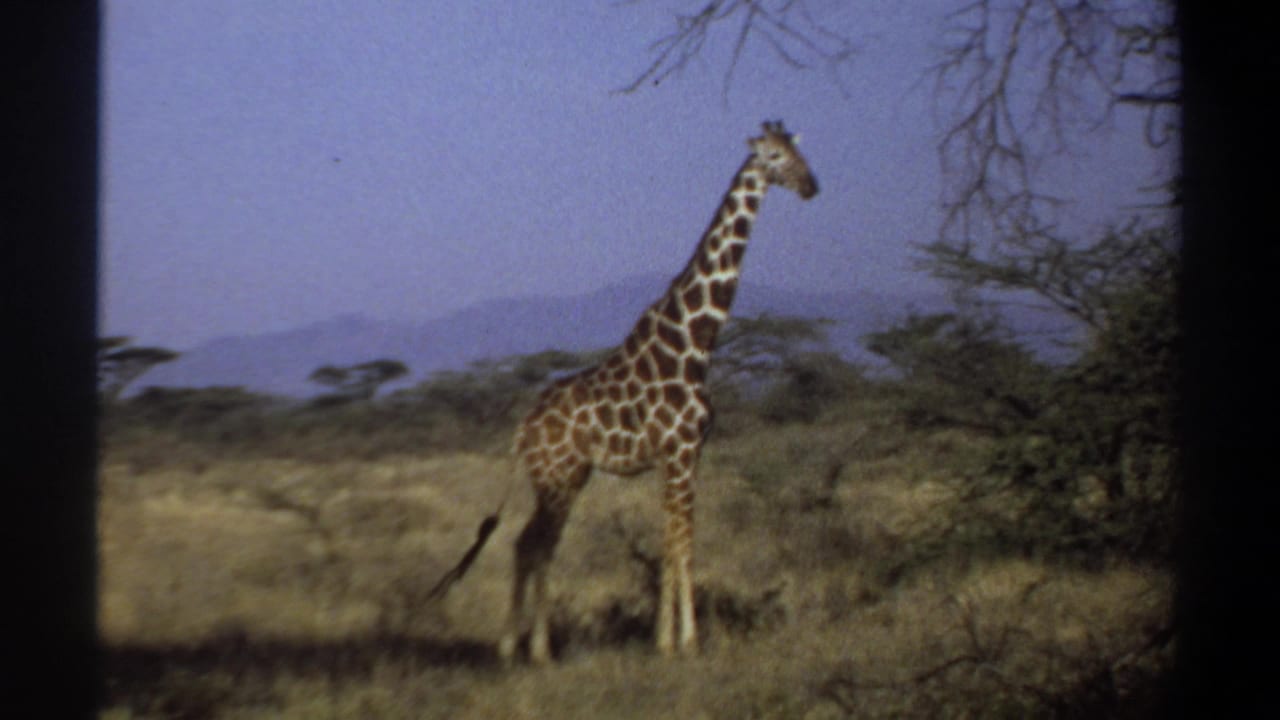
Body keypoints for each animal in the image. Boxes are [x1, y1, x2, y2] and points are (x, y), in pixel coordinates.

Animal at [496, 120, 818, 663]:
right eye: (774, 157)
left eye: (799, 152)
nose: (811, 185)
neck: (695, 344)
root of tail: (523, 429)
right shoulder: (682, 451)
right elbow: (684, 543)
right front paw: (687, 641)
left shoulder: (680, 457)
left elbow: (671, 543)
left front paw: (662, 639)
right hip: (557, 479)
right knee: (536, 546)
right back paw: (533, 649)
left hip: (566, 478)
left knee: (528, 544)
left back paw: (516, 648)